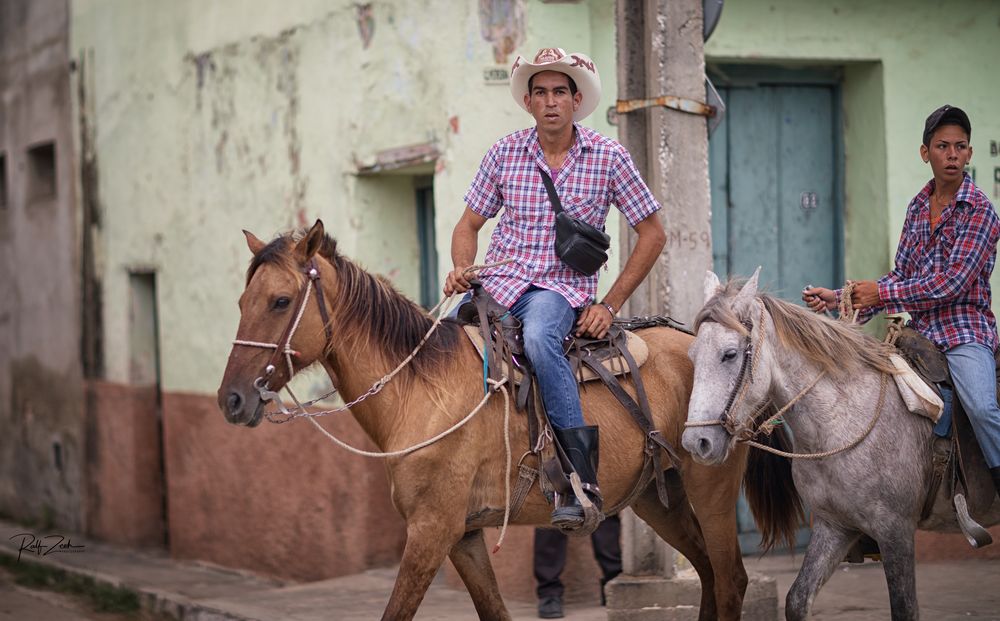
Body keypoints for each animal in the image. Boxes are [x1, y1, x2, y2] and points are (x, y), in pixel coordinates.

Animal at [217, 220, 752, 616]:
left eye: (281, 301)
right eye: (241, 302)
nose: (232, 400)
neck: (420, 392)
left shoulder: (430, 531)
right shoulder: (464, 536)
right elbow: (493, 610)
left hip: (712, 489)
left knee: (730, 580)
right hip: (658, 499)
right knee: (708, 573)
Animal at [684, 270, 996, 620]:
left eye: (729, 354)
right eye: (692, 355)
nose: (697, 442)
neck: (841, 422)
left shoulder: (896, 531)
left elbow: (904, 608)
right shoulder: (833, 526)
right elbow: (797, 599)